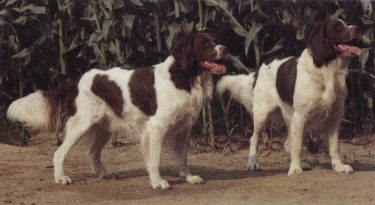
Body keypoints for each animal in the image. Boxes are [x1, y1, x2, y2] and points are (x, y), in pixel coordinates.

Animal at [6, 33, 229, 189]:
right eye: (204, 44)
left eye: (215, 40)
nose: (225, 48)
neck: (183, 77)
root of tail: (78, 79)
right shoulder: (156, 127)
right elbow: (155, 158)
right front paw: (157, 182)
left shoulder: (183, 129)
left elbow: (183, 157)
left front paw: (188, 177)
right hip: (81, 124)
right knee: (59, 152)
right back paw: (61, 178)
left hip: (104, 127)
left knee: (92, 152)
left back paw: (104, 174)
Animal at [217, 19, 362, 175]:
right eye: (337, 27)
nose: (357, 28)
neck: (327, 70)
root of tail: (259, 68)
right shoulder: (301, 115)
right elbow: (298, 146)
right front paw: (295, 169)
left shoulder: (334, 116)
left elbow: (335, 146)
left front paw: (339, 166)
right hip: (262, 115)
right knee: (254, 138)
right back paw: (253, 162)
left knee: (286, 143)